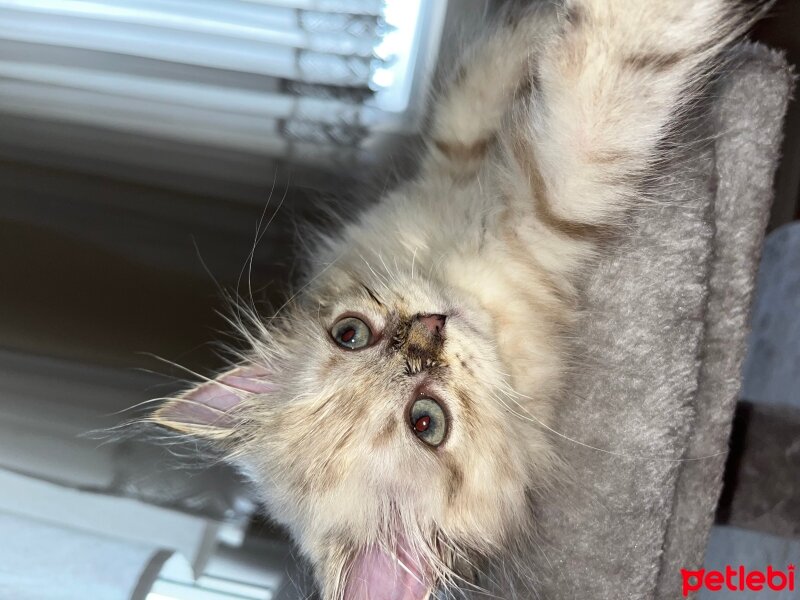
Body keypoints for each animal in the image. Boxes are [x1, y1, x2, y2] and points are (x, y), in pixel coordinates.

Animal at [148, 2, 764, 596]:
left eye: (350, 334)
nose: (426, 329)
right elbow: (592, 103)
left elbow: (475, 99)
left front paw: (531, 34)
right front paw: (632, 25)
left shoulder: (449, 172)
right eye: (427, 422)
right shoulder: (546, 209)